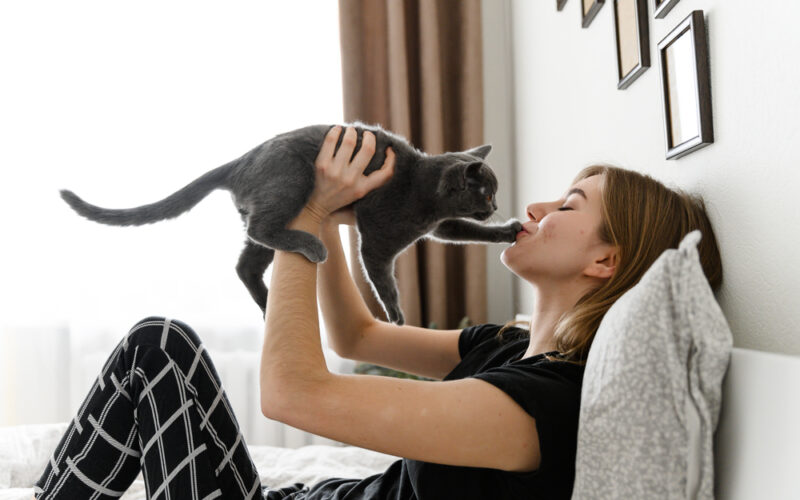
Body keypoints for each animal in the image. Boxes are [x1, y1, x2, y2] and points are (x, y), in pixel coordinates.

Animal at [64, 121, 524, 324]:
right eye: (486, 193)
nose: (496, 205)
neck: (422, 190)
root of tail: (240, 162)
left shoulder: (441, 226)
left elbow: (466, 233)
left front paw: (507, 231)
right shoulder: (378, 237)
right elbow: (382, 276)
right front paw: (396, 315)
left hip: (268, 205)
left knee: (245, 263)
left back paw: (268, 302)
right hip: (292, 183)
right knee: (260, 233)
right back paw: (311, 247)